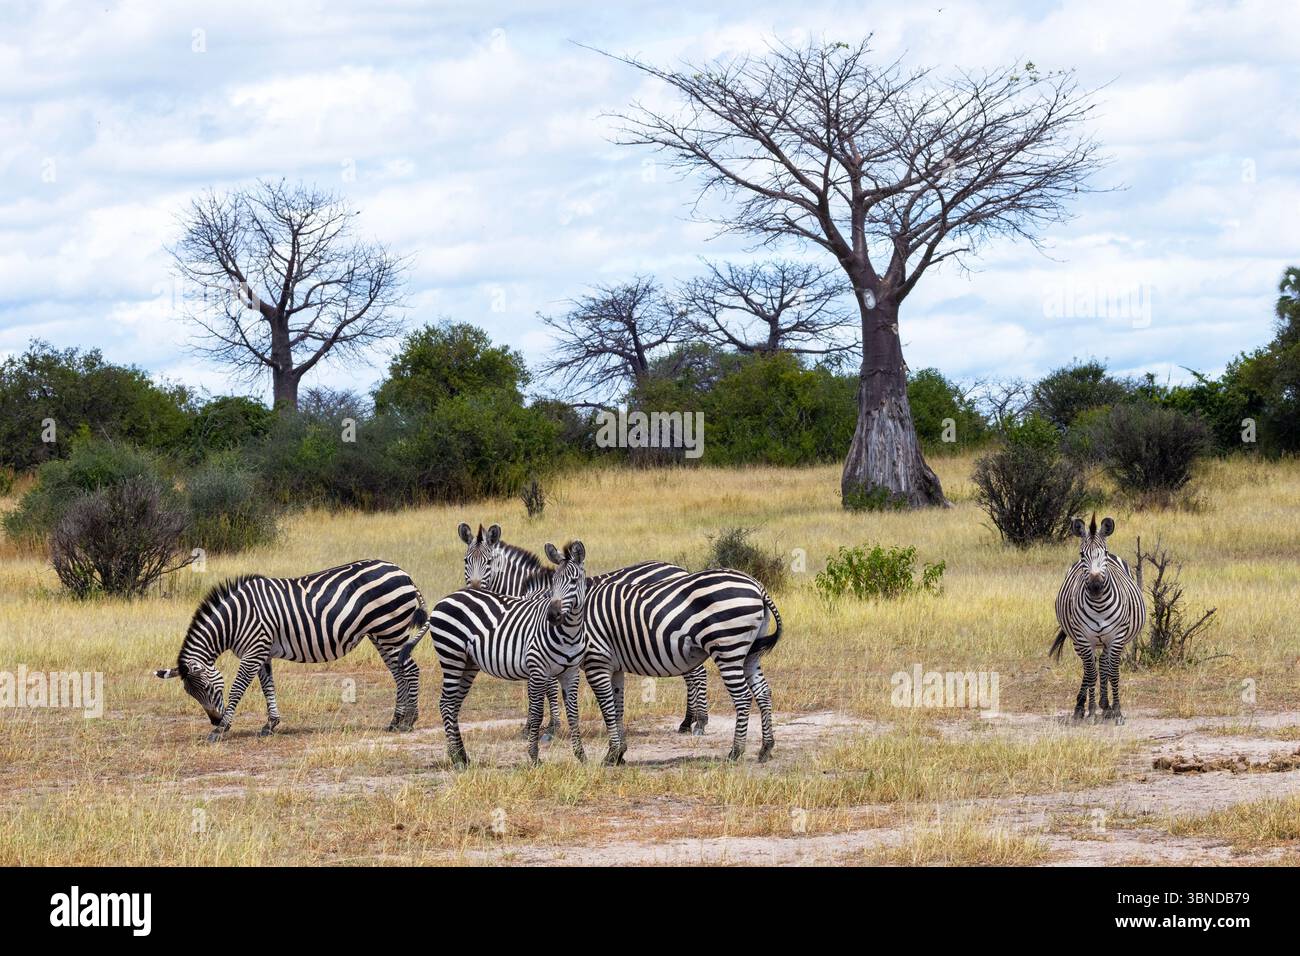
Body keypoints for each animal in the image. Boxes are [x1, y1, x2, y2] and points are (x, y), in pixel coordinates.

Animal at [155, 559, 431, 741]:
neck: (236, 619)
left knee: (411, 671)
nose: (213, 719)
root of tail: (403, 572)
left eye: (209, 688)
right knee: (398, 673)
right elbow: (268, 687)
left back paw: (410, 721)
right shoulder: (262, 652)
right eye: (190, 694)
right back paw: (395, 721)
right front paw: (270, 725)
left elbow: (237, 689)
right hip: (381, 634)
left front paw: (221, 729)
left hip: (391, 630)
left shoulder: (253, 651)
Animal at [400, 540, 591, 767]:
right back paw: (456, 758)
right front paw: (534, 756)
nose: (552, 616)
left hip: (468, 663)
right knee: (446, 703)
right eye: (553, 582)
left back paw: (461, 755)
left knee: (453, 704)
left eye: (574, 581)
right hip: (451, 654)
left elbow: (574, 712)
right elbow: (537, 712)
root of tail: (445, 599)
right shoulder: (538, 669)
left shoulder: (571, 673)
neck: (569, 632)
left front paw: (581, 756)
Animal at [457, 522, 711, 736]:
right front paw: (535, 726)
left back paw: (698, 722)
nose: (475, 590)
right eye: (466, 561)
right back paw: (687, 722)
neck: (533, 593)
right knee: (692, 673)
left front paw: (549, 727)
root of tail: (680, 570)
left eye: (489, 562)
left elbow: (548, 688)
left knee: (697, 673)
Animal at [581, 568, 783, 764]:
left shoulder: (595, 660)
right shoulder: (613, 665)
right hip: (751, 652)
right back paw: (766, 748)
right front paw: (618, 754)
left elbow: (602, 707)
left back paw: (735, 751)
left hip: (728, 648)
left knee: (742, 697)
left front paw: (611, 755)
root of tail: (757, 585)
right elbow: (617, 708)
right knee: (763, 692)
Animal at [1050, 515, 1146, 725]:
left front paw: (1117, 710)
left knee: (1103, 663)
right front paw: (1092, 711)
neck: (1099, 605)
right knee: (1090, 667)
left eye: (1105, 554)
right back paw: (1082, 707)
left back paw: (1106, 705)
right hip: (1080, 641)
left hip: (1109, 640)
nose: (1095, 587)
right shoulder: (1083, 638)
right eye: (1082, 554)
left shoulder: (1117, 638)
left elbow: (1113, 672)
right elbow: (1091, 673)